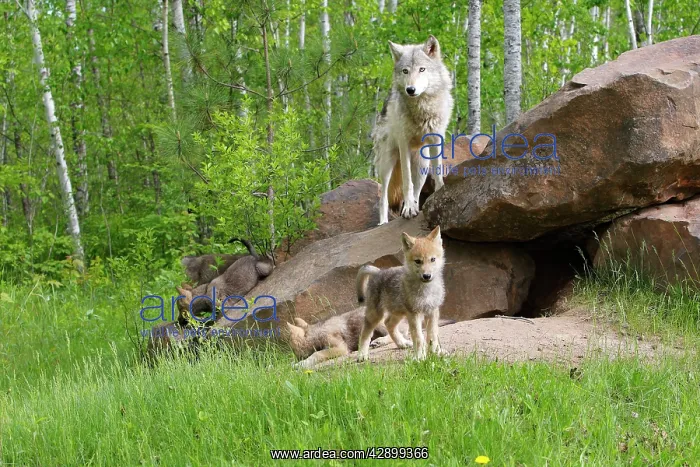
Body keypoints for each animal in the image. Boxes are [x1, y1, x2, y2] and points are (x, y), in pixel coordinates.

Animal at [356, 225, 445, 361]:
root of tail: (379, 272)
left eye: (433, 259)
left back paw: (402, 343)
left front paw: (436, 353)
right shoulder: (414, 314)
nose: (426, 276)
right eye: (418, 261)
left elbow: (432, 335)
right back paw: (362, 355)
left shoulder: (432, 311)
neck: (426, 290)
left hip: (398, 313)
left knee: (388, 324)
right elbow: (418, 338)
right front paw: (419, 357)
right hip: (376, 315)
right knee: (365, 333)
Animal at [373, 35, 454, 224]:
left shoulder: (437, 140)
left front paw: (439, 196)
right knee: (383, 197)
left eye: (422, 69)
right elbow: (406, 182)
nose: (410, 89)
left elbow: (438, 173)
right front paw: (408, 209)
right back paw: (384, 221)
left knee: (417, 190)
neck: (422, 108)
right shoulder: (404, 145)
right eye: (405, 71)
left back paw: (417, 207)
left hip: (422, 165)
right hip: (387, 163)